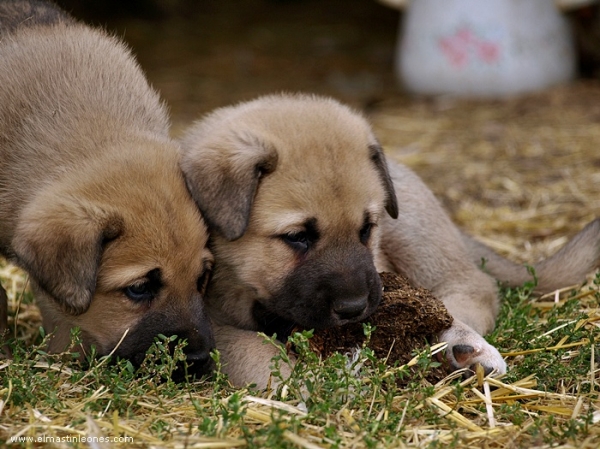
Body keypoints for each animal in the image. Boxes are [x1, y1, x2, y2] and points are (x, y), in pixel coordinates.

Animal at [179, 96, 600, 386]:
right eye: (297, 237)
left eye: (367, 229)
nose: (354, 308)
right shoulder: (208, 324)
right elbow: (252, 348)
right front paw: (304, 380)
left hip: (414, 228)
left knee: (471, 289)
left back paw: (462, 345)